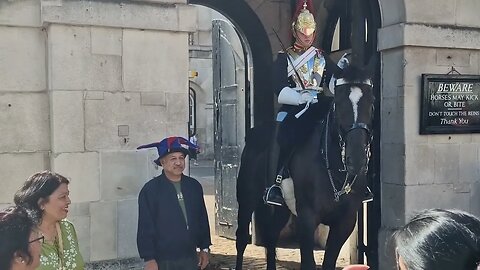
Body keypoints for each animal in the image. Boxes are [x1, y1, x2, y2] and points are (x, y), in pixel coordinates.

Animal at [235, 61, 376, 270]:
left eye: (371, 102)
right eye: (339, 102)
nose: (356, 160)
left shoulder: (345, 222)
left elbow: (329, 262)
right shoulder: (307, 219)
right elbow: (308, 262)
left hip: (282, 209)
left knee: (271, 237)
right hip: (247, 199)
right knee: (242, 238)